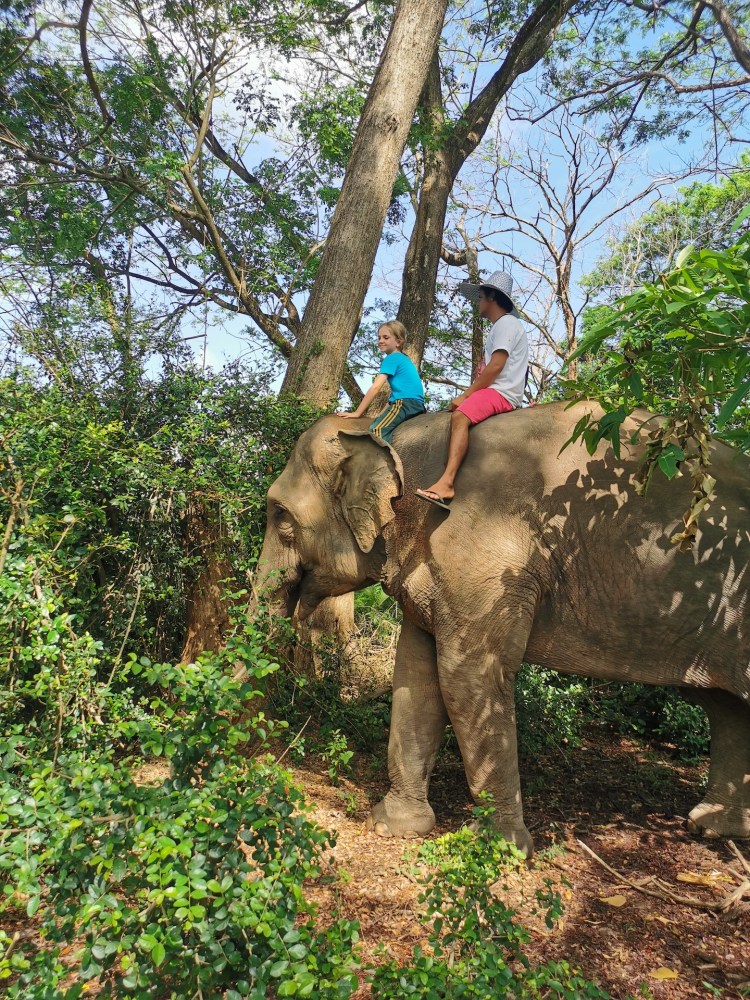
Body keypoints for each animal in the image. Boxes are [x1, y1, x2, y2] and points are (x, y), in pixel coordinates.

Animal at [256, 400, 750, 856]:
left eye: (279, 514)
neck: (398, 436)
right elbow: (416, 675)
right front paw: (393, 827)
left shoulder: (482, 557)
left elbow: (467, 674)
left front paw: (496, 848)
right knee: (726, 707)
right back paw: (712, 828)